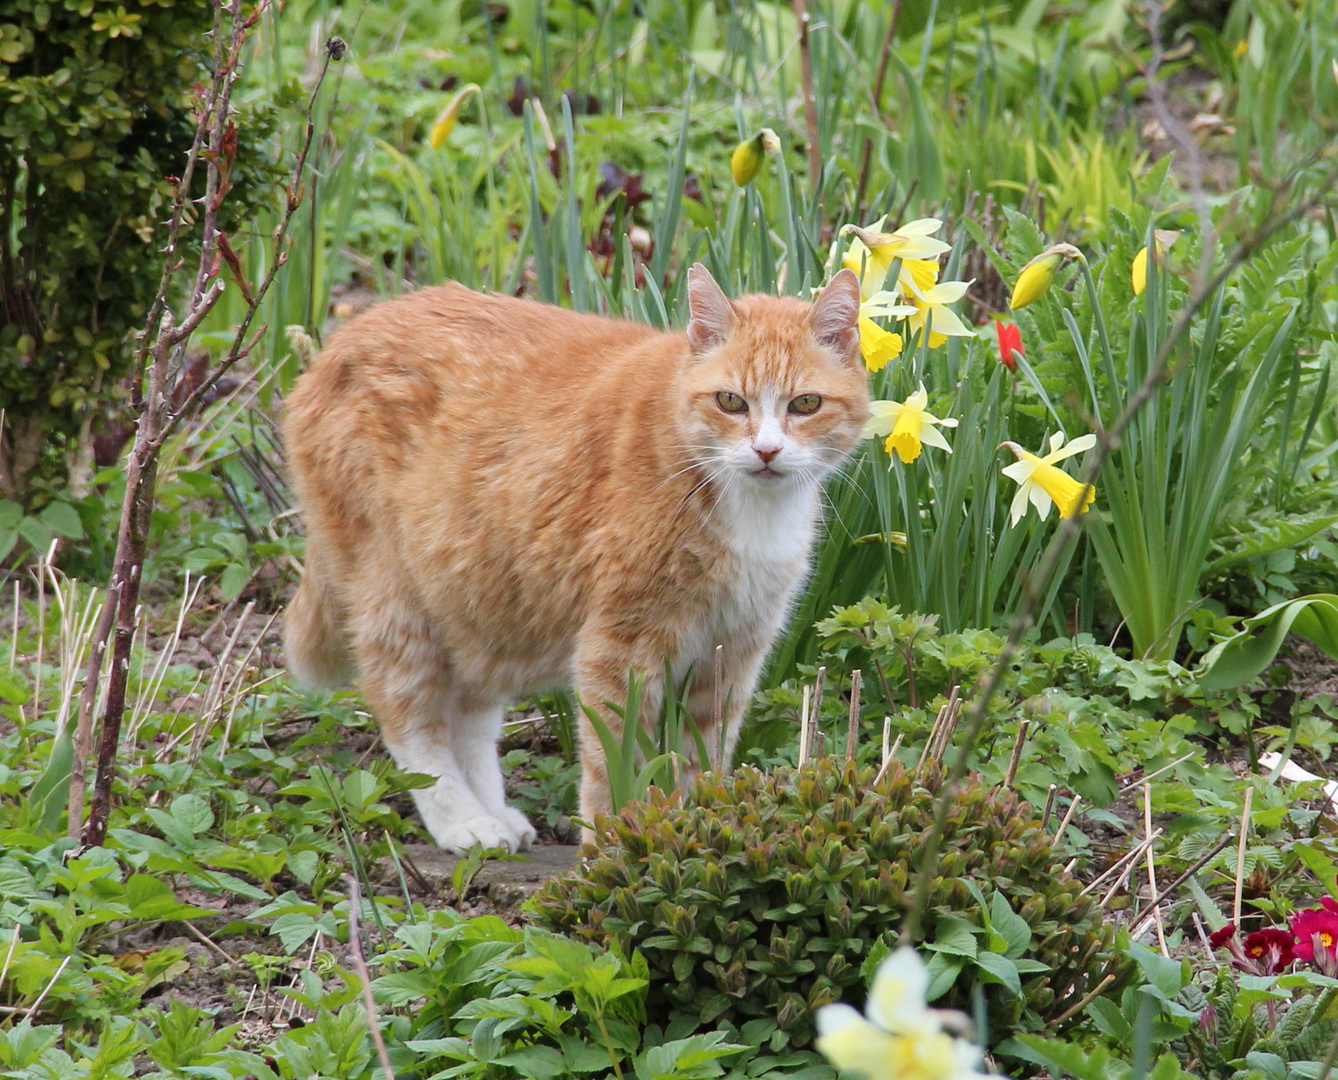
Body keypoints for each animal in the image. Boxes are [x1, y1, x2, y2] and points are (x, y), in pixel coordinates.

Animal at [283, 263, 867, 851]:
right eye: (730, 402)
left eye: (805, 404)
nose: (766, 451)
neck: (748, 507)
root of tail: (347, 334)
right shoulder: (621, 646)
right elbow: (613, 762)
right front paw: (613, 847)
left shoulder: (732, 652)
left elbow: (700, 761)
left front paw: (689, 830)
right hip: (397, 598)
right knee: (408, 718)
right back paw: (463, 821)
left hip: (477, 594)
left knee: (469, 716)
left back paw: (497, 815)